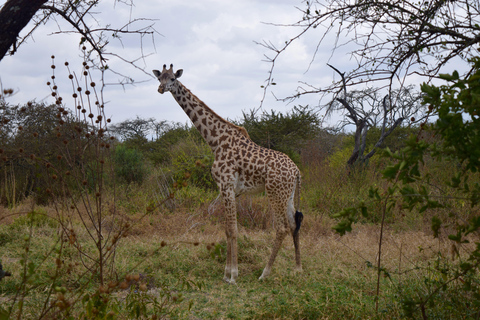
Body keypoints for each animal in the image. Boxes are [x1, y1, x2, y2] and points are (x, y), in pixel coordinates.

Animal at [154, 63, 304, 284]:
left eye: (173, 78)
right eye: (159, 78)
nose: (161, 89)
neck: (215, 141)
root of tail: (296, 171)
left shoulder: (226, 185)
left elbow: (233, 230)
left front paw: (233, 275)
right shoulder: (228, 189)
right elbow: (227, 229)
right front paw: (226, 273)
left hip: (275, 193)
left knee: (281, 228)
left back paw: (264, 273)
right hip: (288, 194)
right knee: (294, 225)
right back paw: (297, 268)